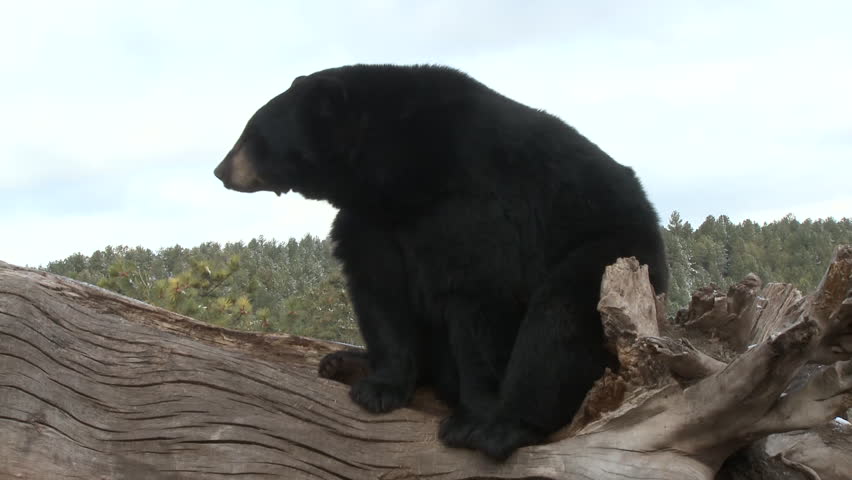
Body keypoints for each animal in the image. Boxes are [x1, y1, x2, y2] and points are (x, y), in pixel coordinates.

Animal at [213, 64, 669, 460]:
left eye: (251, 134)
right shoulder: (372, 219)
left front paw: (471, 418)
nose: (220, 170)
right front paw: (379, 387)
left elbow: (478, 296)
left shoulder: (475, 202)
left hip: (611, 254)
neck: (397, 174)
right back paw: (342, 362)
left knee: (560, 318)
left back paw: (503, 427)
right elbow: (380, 291)